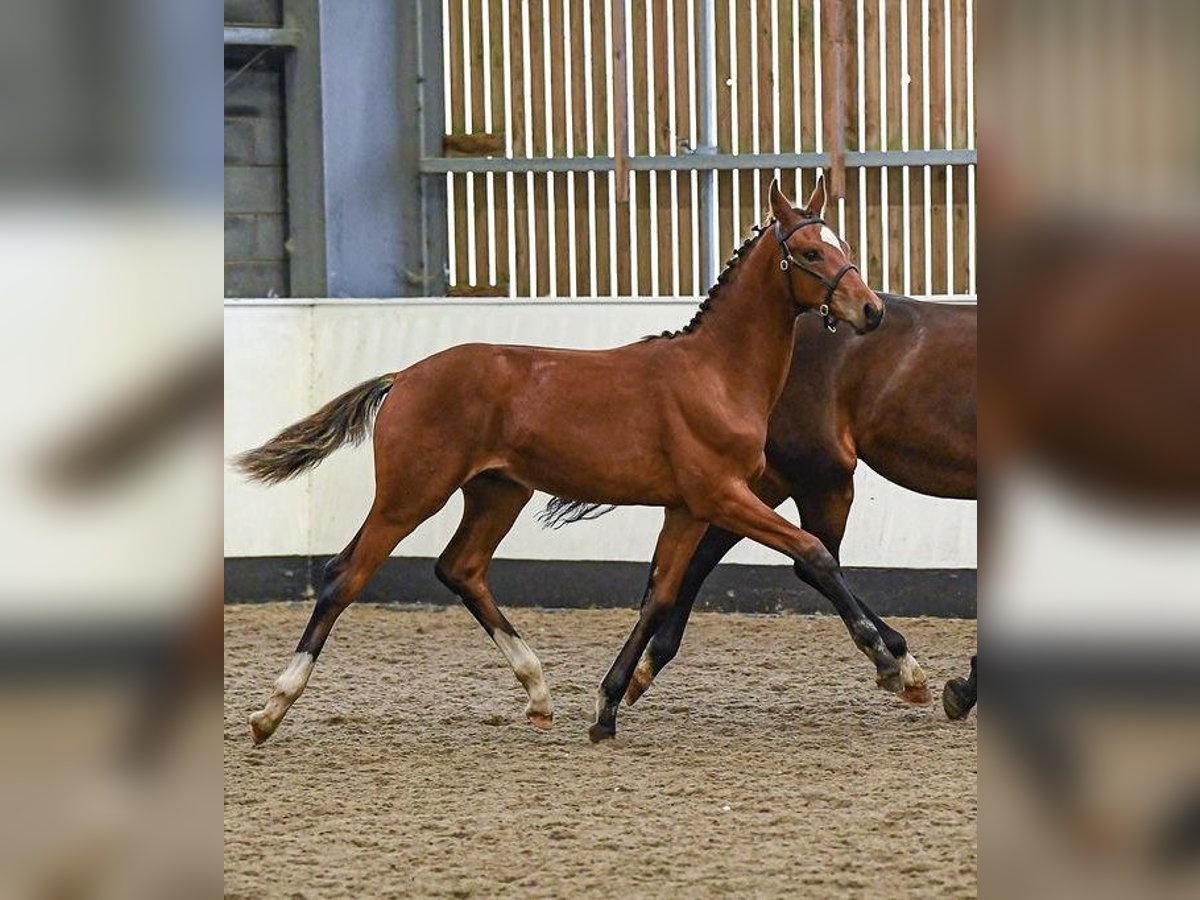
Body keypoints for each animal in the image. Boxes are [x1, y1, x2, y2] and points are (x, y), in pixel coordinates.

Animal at [234, 180, 916, 744]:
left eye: (843, 243)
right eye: (809, 253)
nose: (872, 311)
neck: (716, 374)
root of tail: (405, 376)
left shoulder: (686, 507)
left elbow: (660, 595)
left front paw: (607, 708)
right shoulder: (720, 495)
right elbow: (814, 553)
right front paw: (890, 663)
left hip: (498, 492)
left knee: (462, 569)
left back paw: (538, 692)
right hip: (411, 494)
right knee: (344, 575)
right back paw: (271, 710)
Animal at [544, 296, 974, 720]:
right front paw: (966, 687)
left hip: (759, 484)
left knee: (709, 555)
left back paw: (645, 669)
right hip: (819, 478)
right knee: (811, 560)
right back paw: (899, 662)